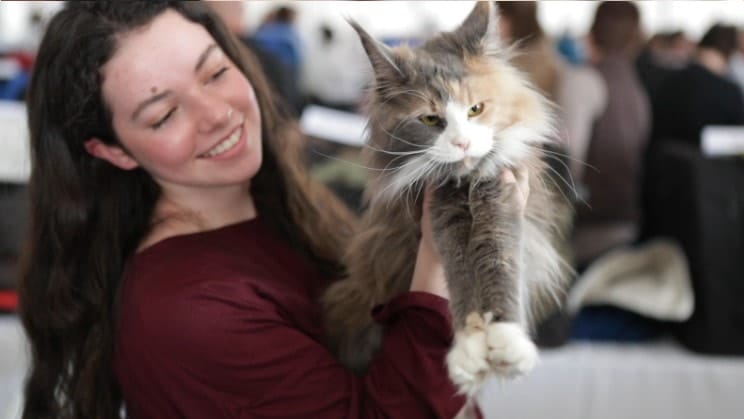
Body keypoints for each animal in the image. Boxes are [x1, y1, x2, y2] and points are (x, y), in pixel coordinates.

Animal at [322, 2, 572, 398]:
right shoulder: (439, 208)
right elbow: (460, 276)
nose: (462, 143)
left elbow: (500, 264)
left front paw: (506, 341)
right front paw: (470, 348)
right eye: (429, 119)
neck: (466, 184)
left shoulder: (500, 197)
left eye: (475, 109)